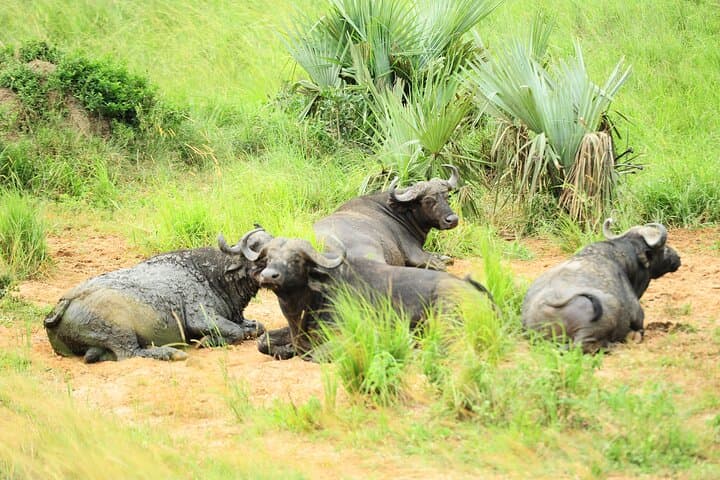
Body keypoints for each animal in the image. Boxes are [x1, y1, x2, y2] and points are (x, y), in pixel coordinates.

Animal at [44, 230, 272, 363]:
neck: (212, 275)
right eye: (262, 256)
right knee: (129, 353)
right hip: (120, 329)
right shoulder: (201, 318)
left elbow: (257, 327)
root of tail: (66, 301)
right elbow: (236, 332)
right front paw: (206, 341)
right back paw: (171, 353)